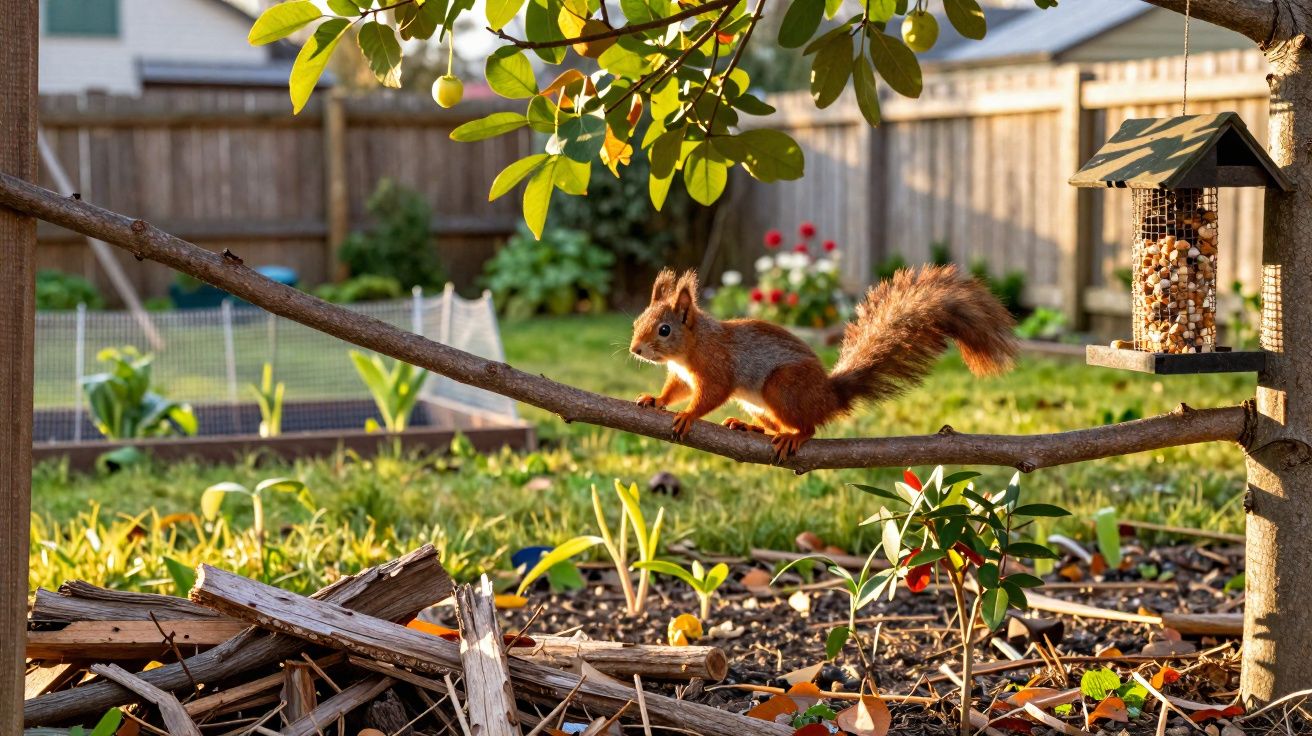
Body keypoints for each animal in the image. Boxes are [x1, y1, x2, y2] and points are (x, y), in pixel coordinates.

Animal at [629, 265, 1019, 460]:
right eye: (636, 322)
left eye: (664, 330)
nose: (635, 349)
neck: (692, 347)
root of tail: (830, 395)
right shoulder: (682, 375)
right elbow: (676, 389)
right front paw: (656, 400)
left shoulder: (717, 366)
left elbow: (712, 393)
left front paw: (688, 415)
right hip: (759, 403)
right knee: (776, 424)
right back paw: (751, 428)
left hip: (783, 387)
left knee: (809, 427)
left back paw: (794, 437)